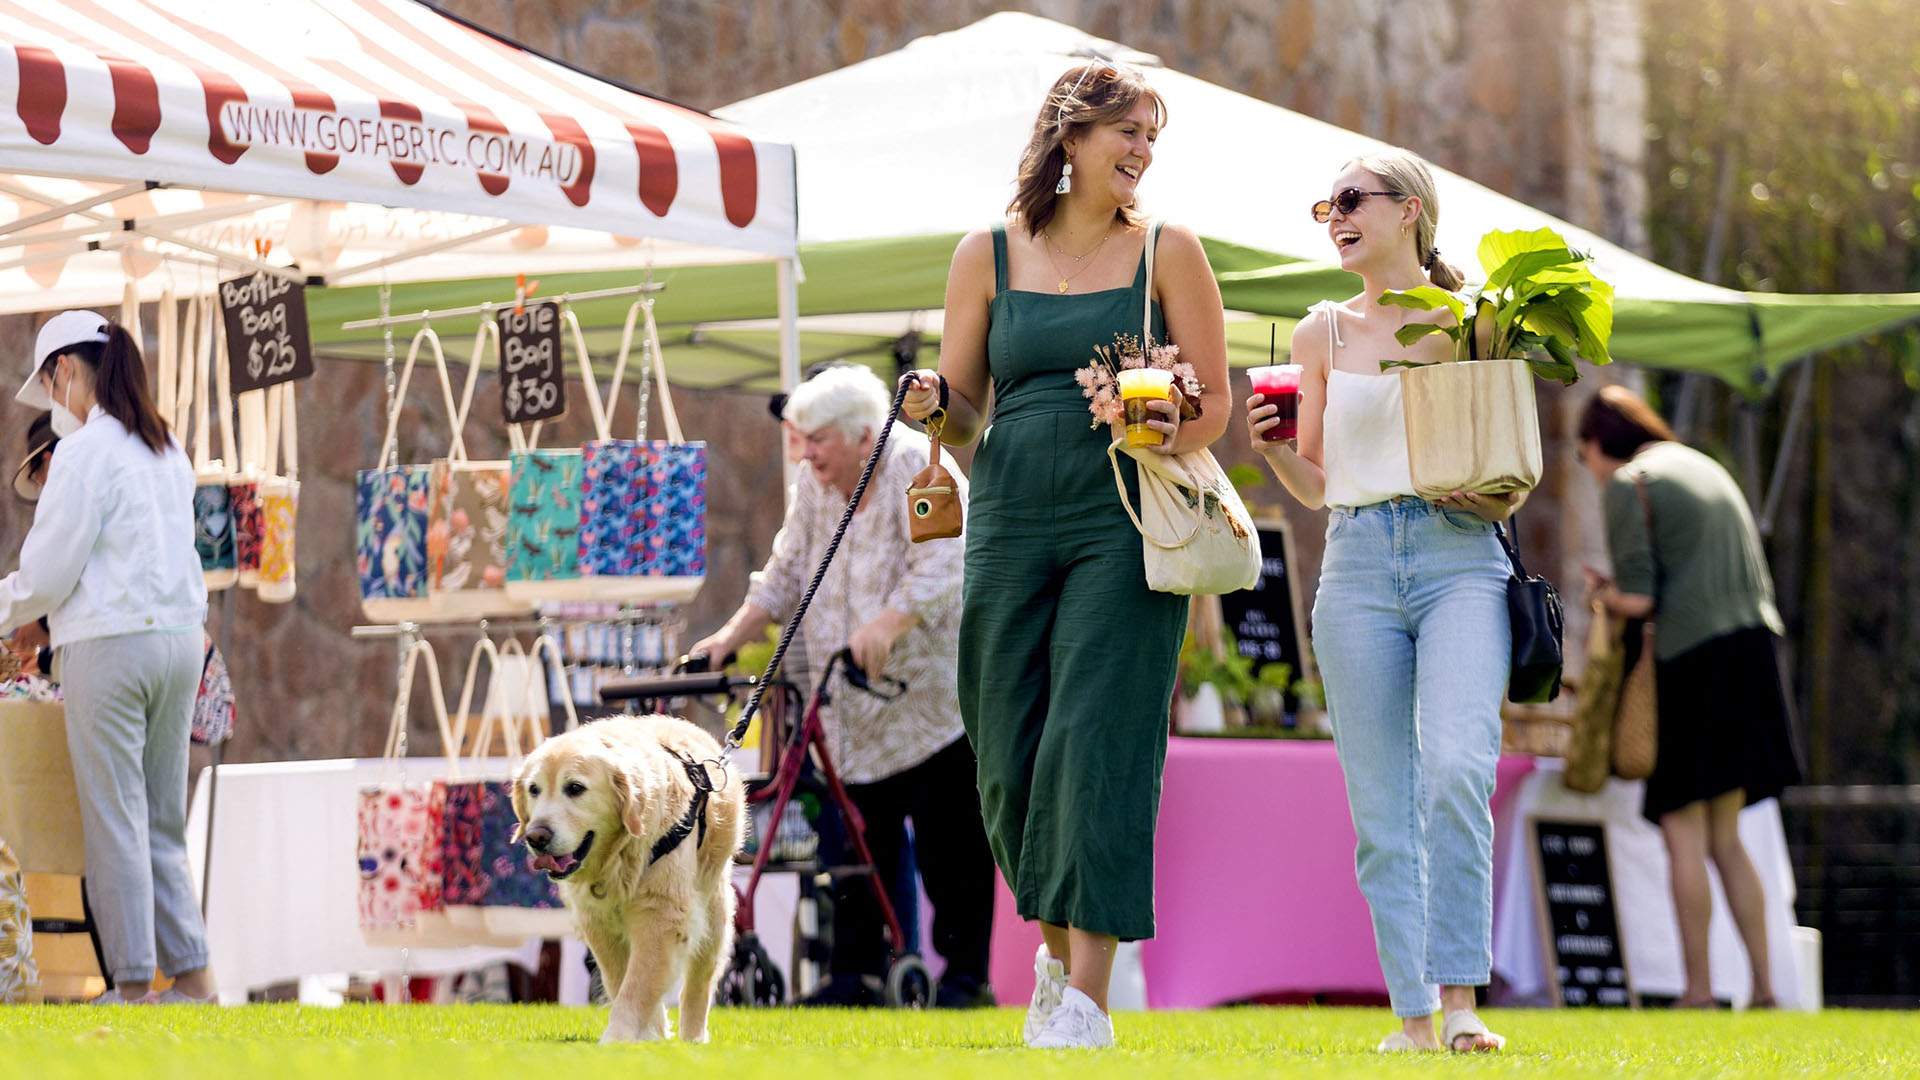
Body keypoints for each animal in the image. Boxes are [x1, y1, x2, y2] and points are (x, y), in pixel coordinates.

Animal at [506, 711, 744, 1037]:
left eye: (575, 788)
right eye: (534, 789)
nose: (536, 837)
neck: (619, 855)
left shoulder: (661, 914)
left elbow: (638, 986)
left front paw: (618, 1037)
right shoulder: (599, 922)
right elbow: (624, 982)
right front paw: (649, 1035)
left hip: (712, 911)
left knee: (699, 981)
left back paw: (693, 1037)